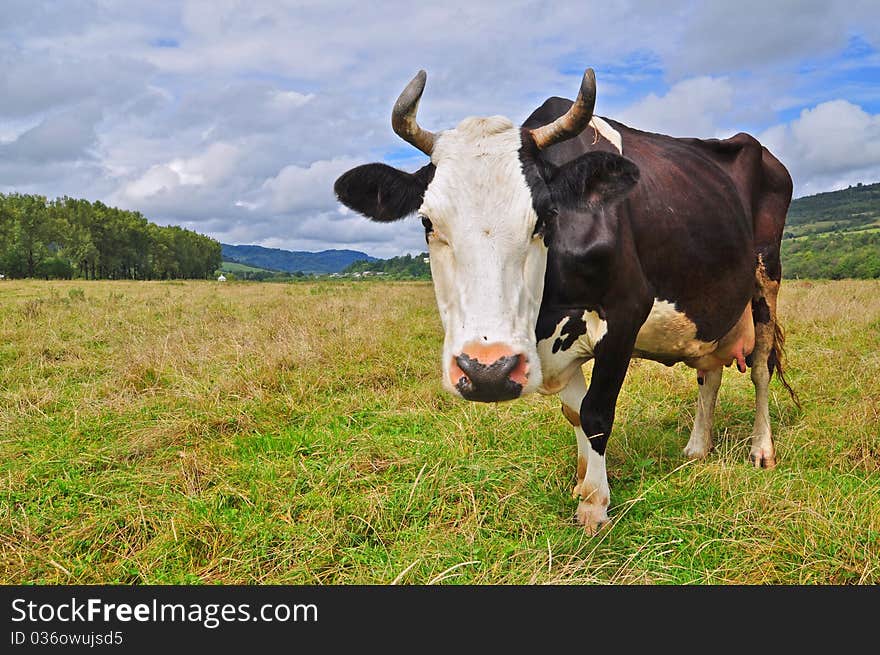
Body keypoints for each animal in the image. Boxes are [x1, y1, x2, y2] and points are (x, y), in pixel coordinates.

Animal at [332, 69, 796, 532]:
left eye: (545, 217)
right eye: (428, 222)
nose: (487, 372)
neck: (543, 313)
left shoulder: (626, 312)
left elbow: (595, 412)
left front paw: (594, 504)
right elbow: (573, 413)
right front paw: (581, 481)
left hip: (766, 278)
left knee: (760, 368)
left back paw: (761, 449)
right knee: (709, 372)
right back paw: (698, 447)